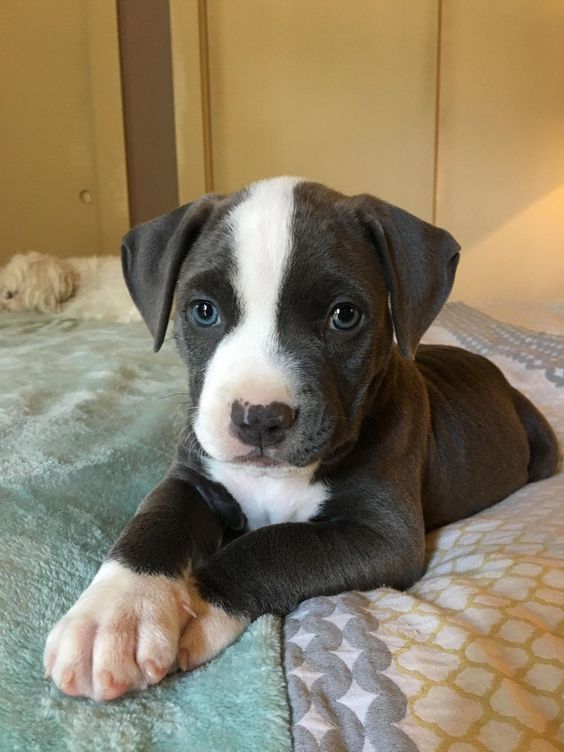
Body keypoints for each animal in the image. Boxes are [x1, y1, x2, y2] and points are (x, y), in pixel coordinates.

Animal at [44, 176, 560, 700]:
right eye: (203, 311)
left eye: (344, 315)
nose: (258, 417)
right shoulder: (193, 479)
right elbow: (152, 525)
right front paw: (116, 614)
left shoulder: (383, 535)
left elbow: (275, 545)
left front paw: (199, 601)